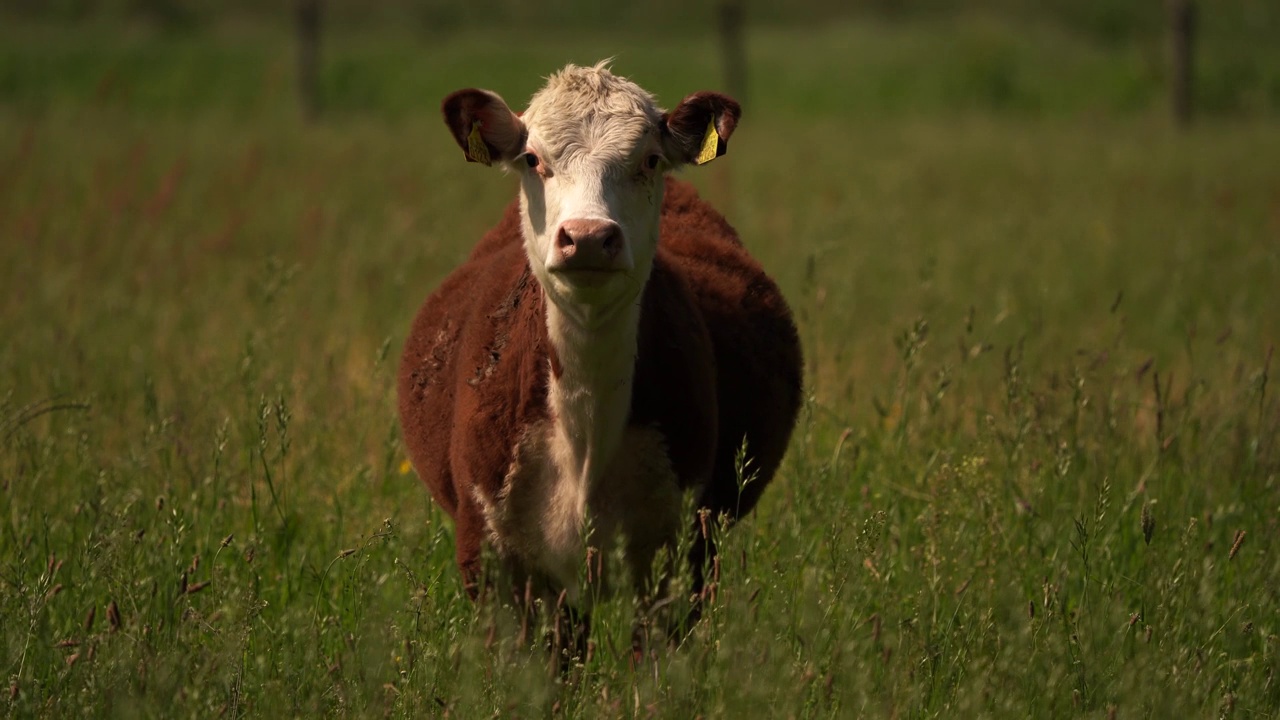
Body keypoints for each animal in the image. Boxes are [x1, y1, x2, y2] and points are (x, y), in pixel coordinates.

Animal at [399, 61, 798, 655]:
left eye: (649, 159)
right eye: (532, 159)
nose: (587, 237)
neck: (584, 434)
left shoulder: (681, 560)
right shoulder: (493, 563)